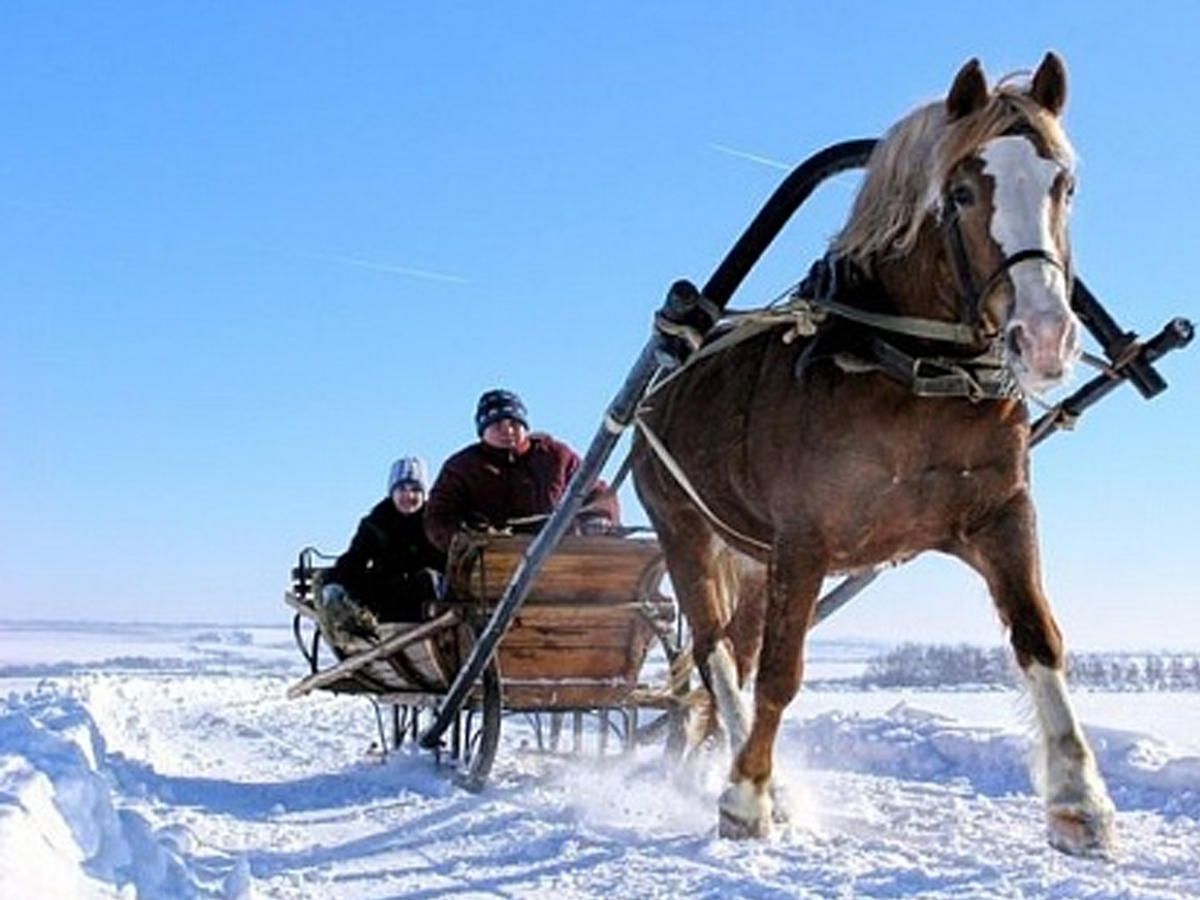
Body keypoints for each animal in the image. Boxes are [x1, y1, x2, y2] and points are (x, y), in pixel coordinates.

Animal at [633, 54, 1118, 859]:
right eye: (962, 191)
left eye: (1065, 184)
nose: (1047, 335)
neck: (909, 370)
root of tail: (658, 391)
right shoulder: (804, 538)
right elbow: (781, 674)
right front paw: (745, 800)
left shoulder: (999, 515)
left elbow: (1039, 638)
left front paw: (1081, 803)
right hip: (684, 529)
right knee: (716, 655)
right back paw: (757, 782)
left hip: (753, 558)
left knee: (731, 649)